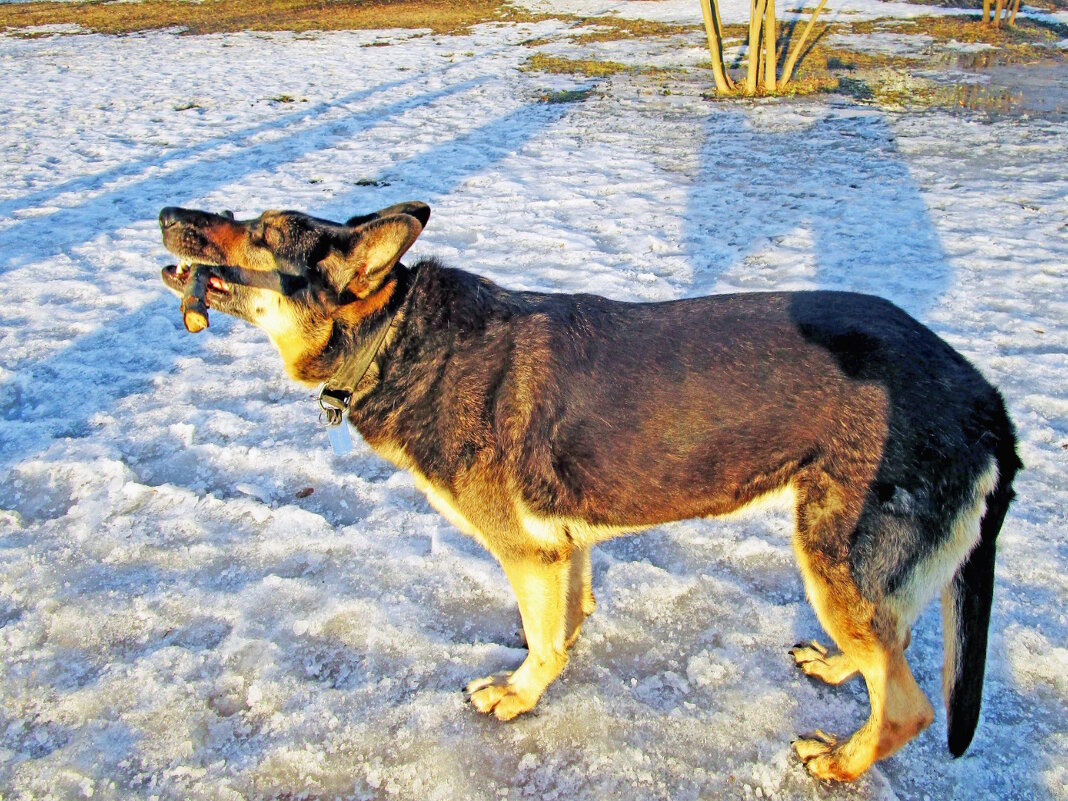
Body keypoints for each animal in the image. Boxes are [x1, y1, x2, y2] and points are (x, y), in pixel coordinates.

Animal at [155, 201, 1016, 786]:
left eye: (264, 232)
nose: (166, 213)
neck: (398, 337)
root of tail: (985, 396)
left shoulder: (529, 553)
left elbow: (543, 641)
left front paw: (517, 697)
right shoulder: (564, 549)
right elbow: (568, 620)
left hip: (828, 553)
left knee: (907, 702)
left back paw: (841, 760)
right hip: (848, 570)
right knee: (889, 643)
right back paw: (840, 669)